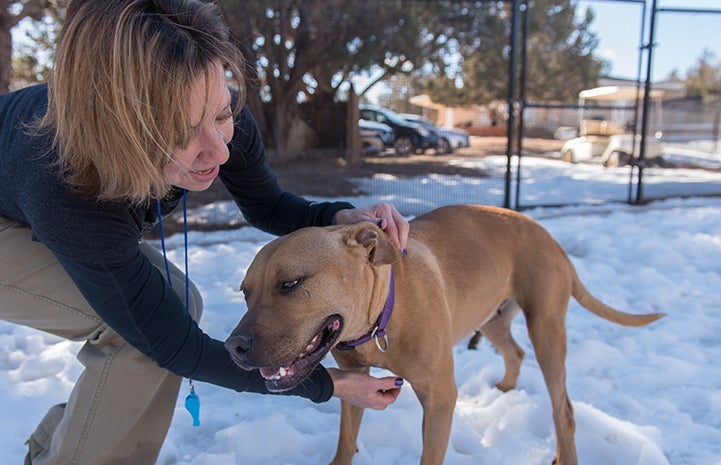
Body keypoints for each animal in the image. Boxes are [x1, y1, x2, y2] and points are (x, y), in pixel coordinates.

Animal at [225, 206, 664, 464]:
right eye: (245, 292)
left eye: (290, 283)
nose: (234, 347)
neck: (382, 316)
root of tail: (545, 233)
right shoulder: (354, 383)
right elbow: (346, 441)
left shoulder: (438, 400)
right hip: (490, 318)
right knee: (515, 353)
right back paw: (502, 392)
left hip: (547, 331)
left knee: (564, 410)